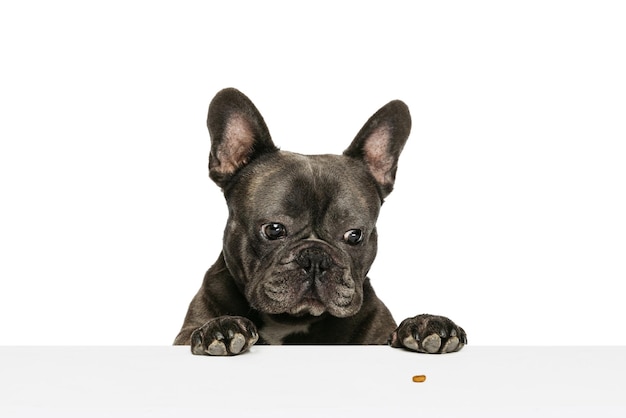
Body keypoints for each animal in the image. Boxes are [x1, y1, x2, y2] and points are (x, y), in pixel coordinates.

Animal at [173, 88, 466, 356]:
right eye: (274, 229)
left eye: (354, 235)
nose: (315, 257)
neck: (291, 321)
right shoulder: (184, 335)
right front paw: (222, 326)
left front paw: (424, 324)